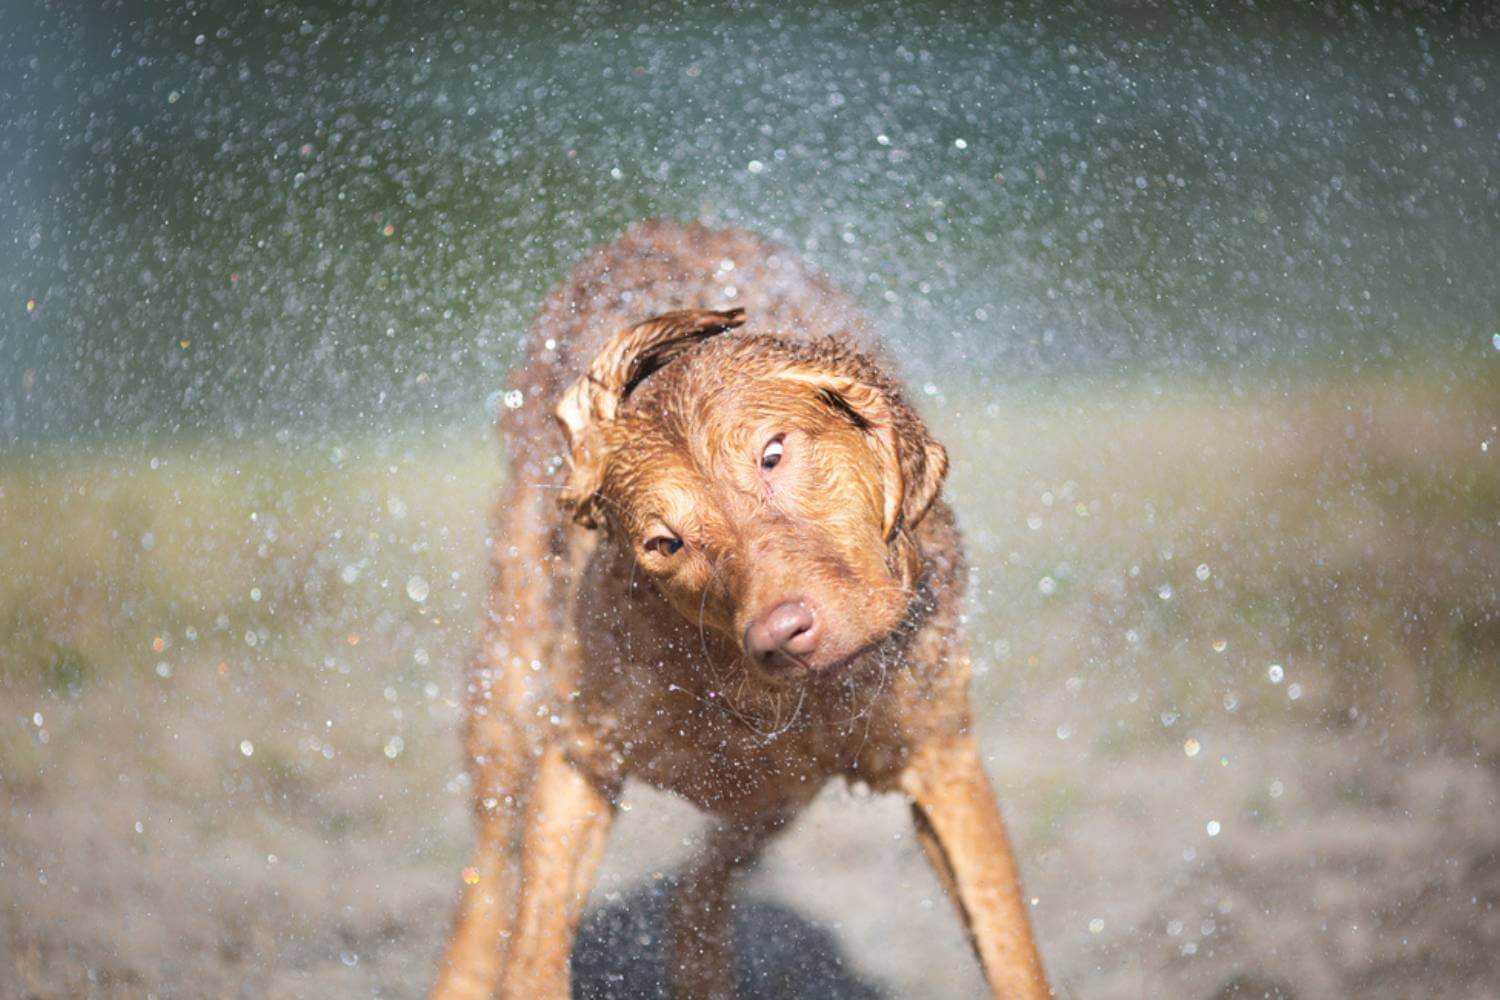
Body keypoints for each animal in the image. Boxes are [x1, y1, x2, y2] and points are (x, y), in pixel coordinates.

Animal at [429, 223, 1050, 995]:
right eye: (663, 542)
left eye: (773, 454)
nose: (781, 635)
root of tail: (665, 225)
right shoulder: (579, 756)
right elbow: (533, 944)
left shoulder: (940, 761)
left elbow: (1009, 946)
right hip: (510, 703)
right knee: (490, 882)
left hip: (774, 802)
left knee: (699, 890)